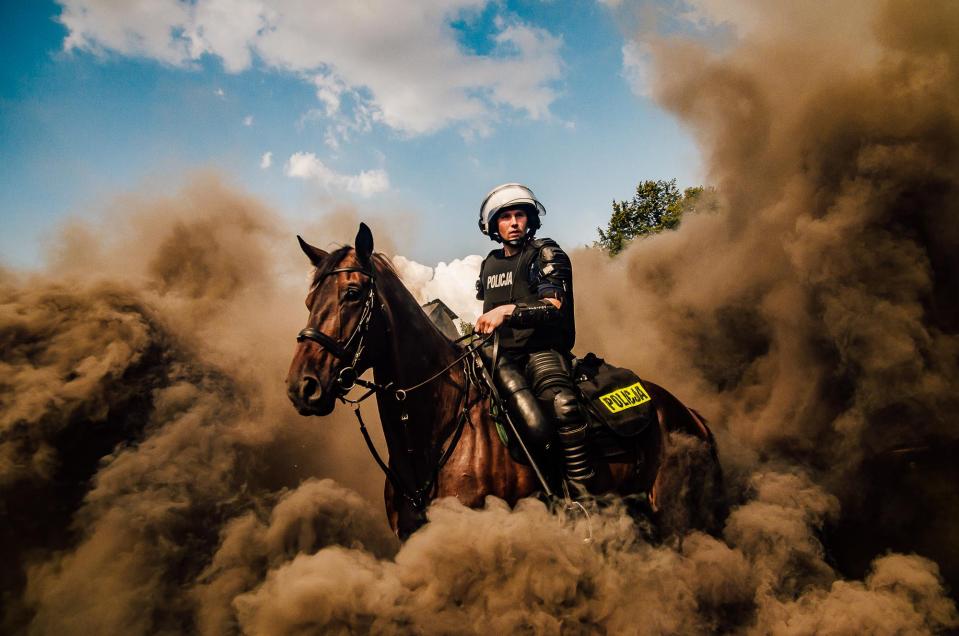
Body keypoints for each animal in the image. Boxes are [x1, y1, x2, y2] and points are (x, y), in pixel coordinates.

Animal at [288, 226, 724, 540]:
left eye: (352, 293)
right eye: (308, 301)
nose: (301, 386)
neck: (438, 430)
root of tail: (688, 414)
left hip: (677, 515)